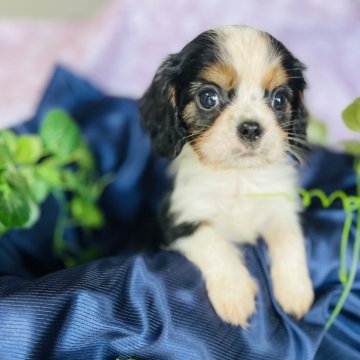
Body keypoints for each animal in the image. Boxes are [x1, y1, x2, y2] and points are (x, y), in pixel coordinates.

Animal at [139, 25, 314, 328]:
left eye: (279, 99)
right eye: (208, 98)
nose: (251, 128)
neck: (237, 178)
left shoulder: (280, 208)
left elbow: (290, 238)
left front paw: (295, 291)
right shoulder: (178, 219)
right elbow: (214, 244)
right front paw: (236, 294)